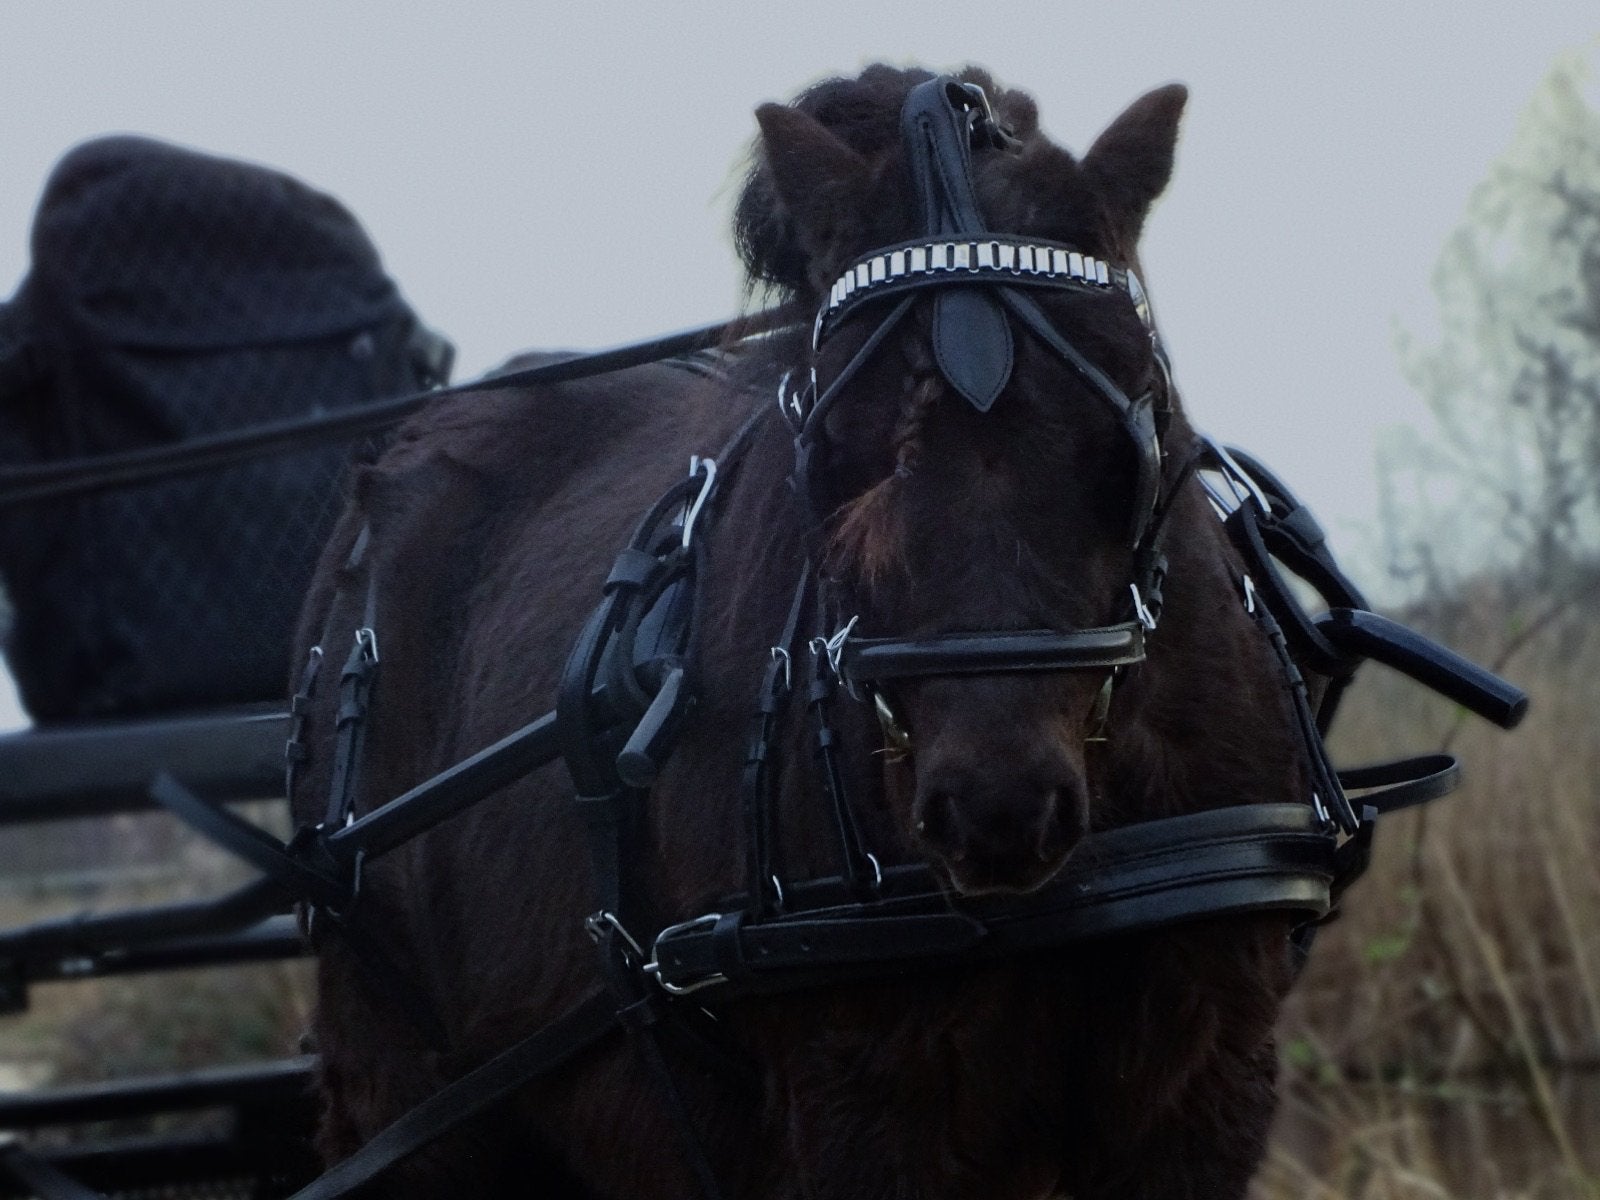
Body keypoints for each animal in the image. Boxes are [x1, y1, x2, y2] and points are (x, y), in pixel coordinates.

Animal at [291, 64, 1314, 1199]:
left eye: (1133, 427)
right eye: (828, 446)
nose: (997, 804)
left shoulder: (1205, 1089)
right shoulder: (858, 1107)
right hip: (409, 1090)